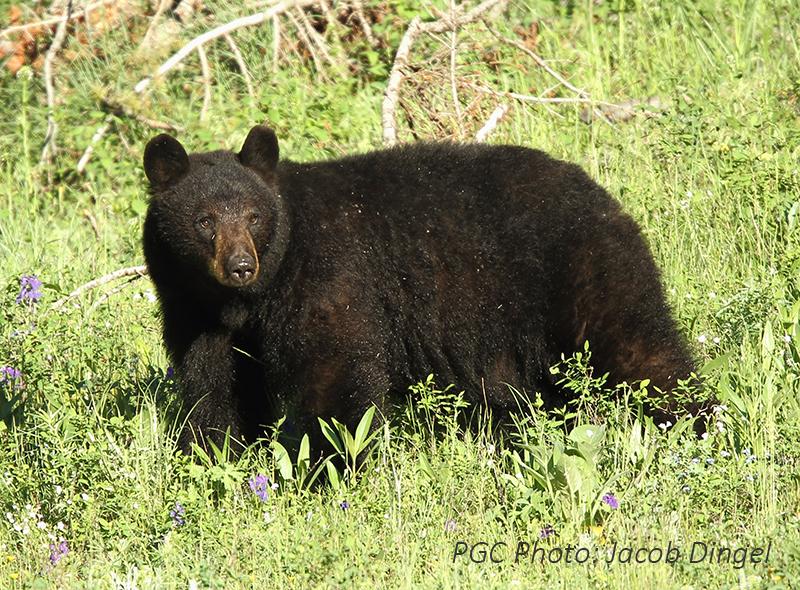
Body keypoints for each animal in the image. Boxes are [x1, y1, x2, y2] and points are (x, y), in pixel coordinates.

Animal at [142, 125, 707, 453]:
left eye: (255, 217)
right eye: (204, 220)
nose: (240, 265)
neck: (251, 299)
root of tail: (606, 198)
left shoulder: (328, 275)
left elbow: (335, 369)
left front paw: (328, 466)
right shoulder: (195, 311)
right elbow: (215, 384)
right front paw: (215, 456)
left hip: (582, 271)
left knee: (641, 349)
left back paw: (696, 426)